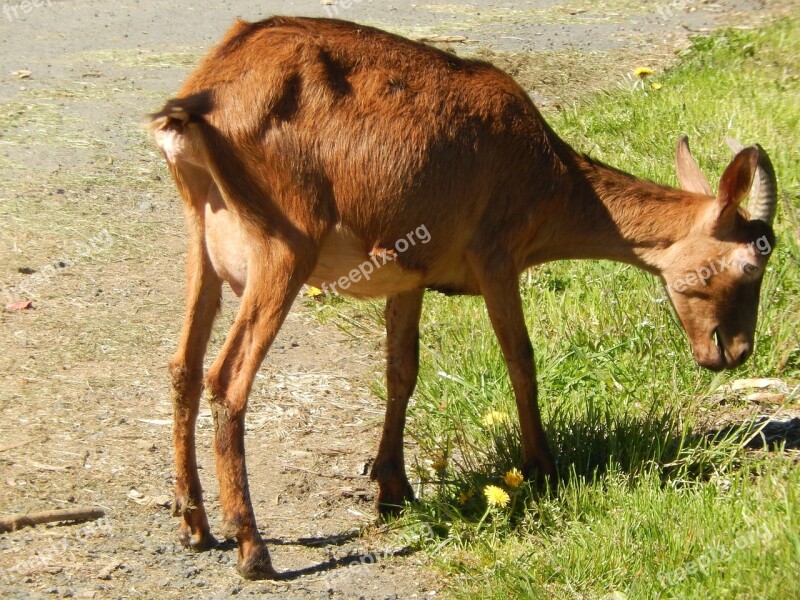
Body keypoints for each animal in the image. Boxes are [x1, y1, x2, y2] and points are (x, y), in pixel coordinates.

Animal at [148, 16, 776, 580]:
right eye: (752, 263)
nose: (735, 351)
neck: (542, 167)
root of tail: (202, 99)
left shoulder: (409, 276)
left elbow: (402, 369)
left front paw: (393, 488)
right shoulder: (497, 257)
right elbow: (521, 359)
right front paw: (543, 466)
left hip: (201, 237)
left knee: (183, 366)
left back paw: (194, 525)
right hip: (284, 245)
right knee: (228, 379)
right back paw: (252, 550)